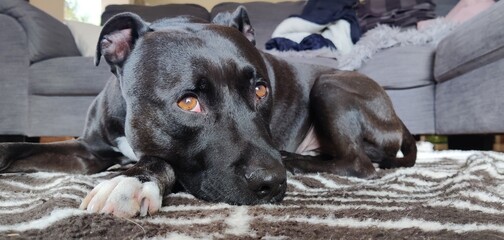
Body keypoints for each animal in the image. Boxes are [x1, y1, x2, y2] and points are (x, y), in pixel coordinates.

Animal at [0, 7, 416, 218]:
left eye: (261, 89)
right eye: (188, 102)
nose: (271, 183)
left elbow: (161, 159)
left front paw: (128, 182)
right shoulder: (87, 151)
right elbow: (19, 148)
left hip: (331, 87)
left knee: (357, 164)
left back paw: (294, 160)